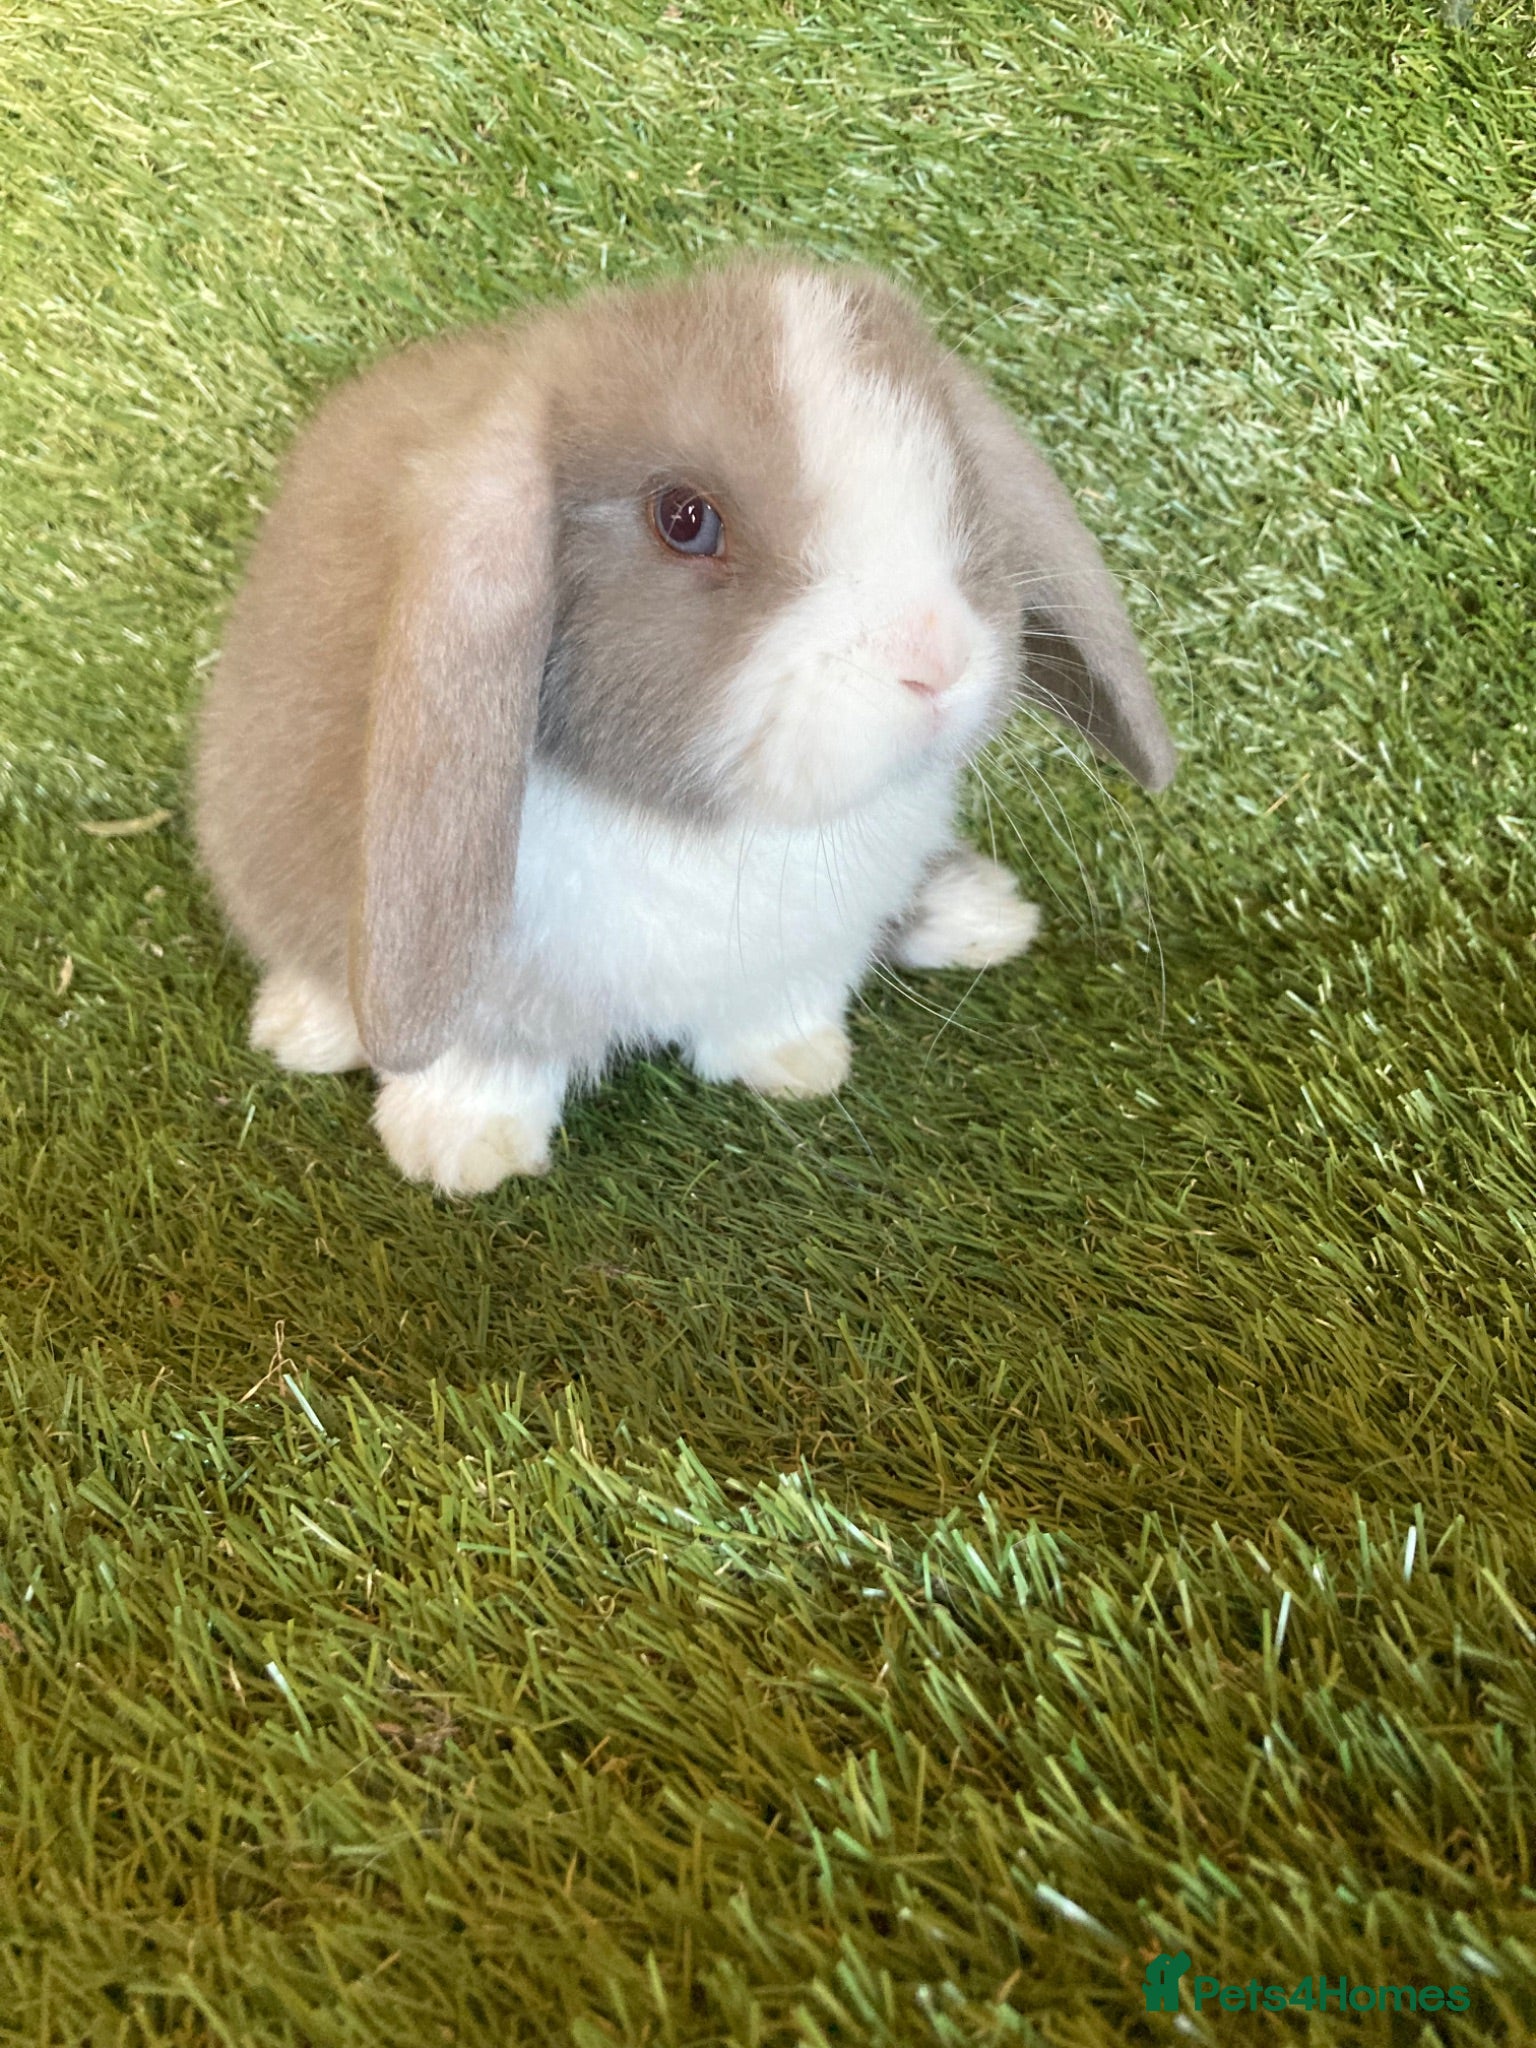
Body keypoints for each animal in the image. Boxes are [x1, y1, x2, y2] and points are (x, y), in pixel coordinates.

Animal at [194, 250, 1176, 1194]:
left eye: (956, 476)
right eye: (685, 518)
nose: (937, 659)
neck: (704, 830)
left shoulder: (794, 955)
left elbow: (777, 1010)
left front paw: (801, 1062)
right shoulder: (481, 991)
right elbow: (481, 1064)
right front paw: (459, 1151)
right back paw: (301, 1027)